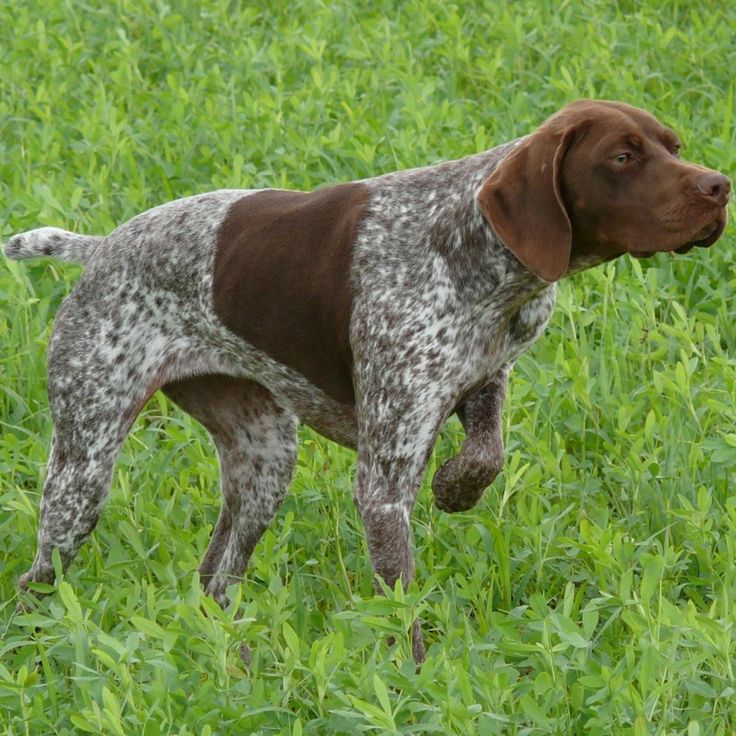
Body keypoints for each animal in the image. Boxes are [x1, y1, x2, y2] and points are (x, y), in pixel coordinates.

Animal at [4, 99, 732, 660]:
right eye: (623, 157)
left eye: (673, 146)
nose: (719, 186)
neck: (473, 248)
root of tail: (101, 249)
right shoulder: (384, 480)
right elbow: (400, 601)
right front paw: (415, 678)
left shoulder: (483, 380)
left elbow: (488, 454)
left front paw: (456, 489)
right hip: (84, 468)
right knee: (36, 581)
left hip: (264, 459)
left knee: (216, 578)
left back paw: (233, 657)